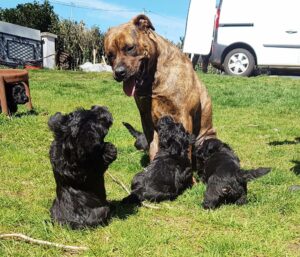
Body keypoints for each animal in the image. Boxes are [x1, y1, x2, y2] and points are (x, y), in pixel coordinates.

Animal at [105, 15, 216, 159]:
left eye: (130, 48)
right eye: (109, 55)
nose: (119, 72)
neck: (153, 81)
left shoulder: (183, 116)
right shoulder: (146, 118)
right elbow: (153, 146)